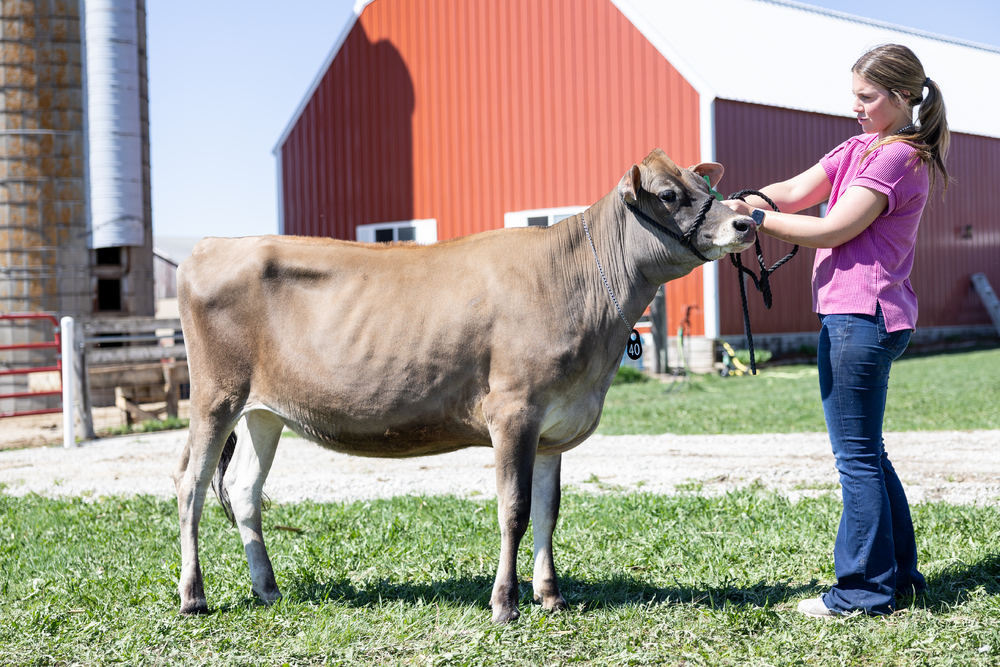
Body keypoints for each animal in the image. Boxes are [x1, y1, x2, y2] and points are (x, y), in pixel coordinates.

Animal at [173, 148, 756, 623]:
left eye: (707, 187)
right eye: (669, 195)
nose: (746, 222)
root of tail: (208, 246)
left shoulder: (554, 426)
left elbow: (548, 511)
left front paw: (551, 596)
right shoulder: (514, 411)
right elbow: (514, 509)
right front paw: (505, 604)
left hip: (263, 412)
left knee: (243, 488)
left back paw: (268, 589)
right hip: (214, 396)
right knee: (190, 484)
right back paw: (193, 596)